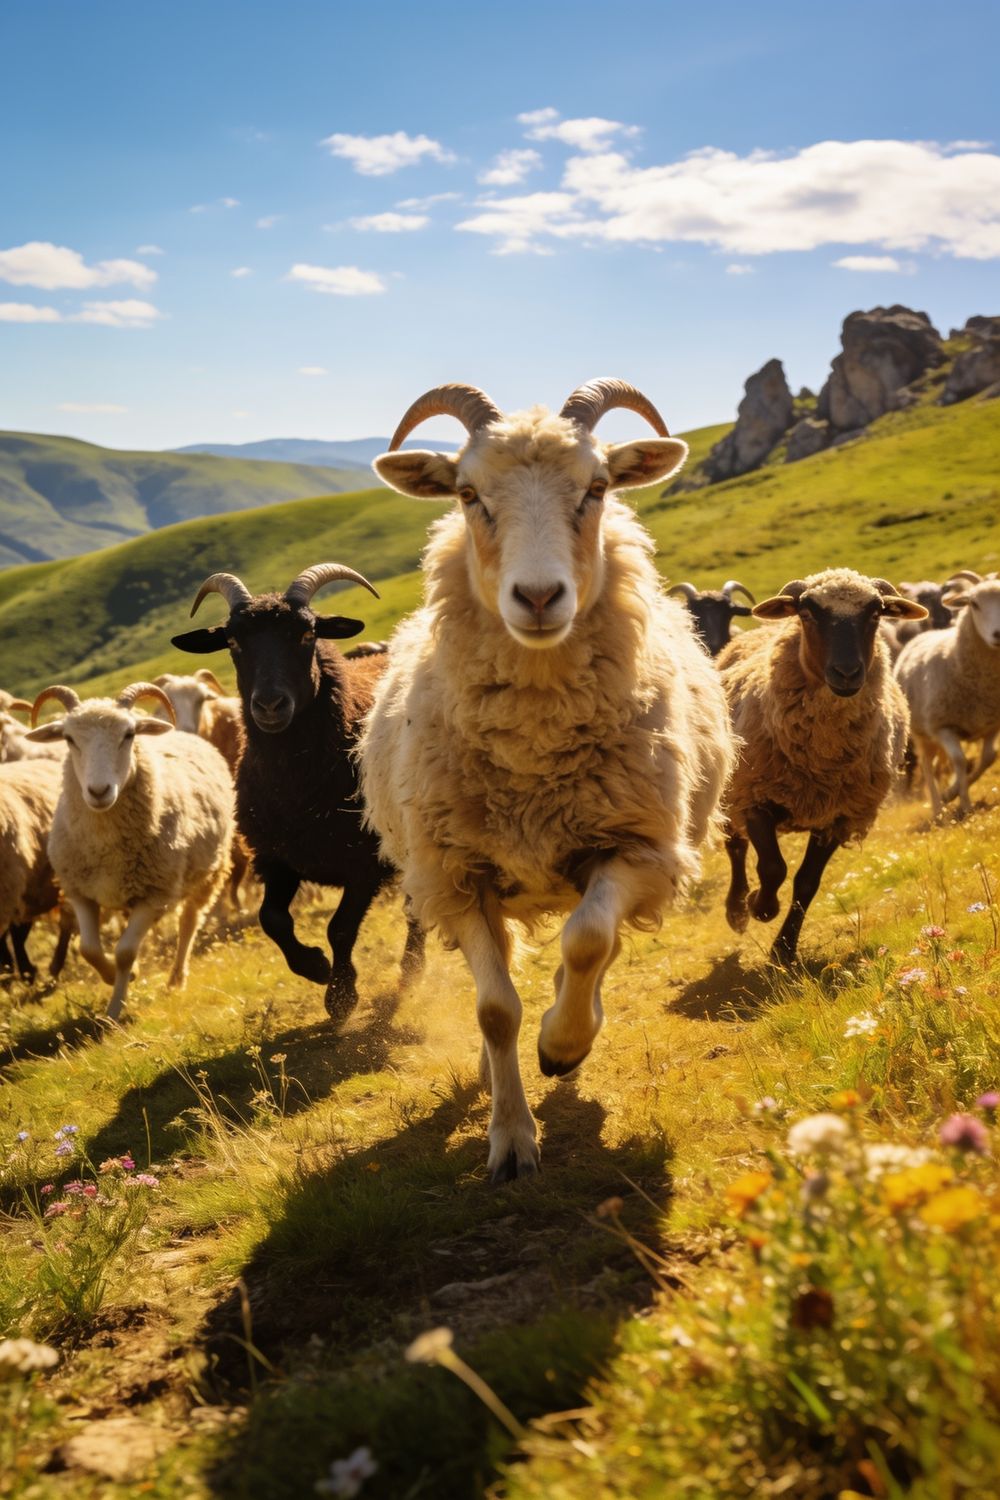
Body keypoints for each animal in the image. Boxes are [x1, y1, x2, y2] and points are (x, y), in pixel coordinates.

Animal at [25, 682, 234, 1020]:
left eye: (129, 734)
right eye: (68, 739)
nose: (99, 791)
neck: (106, 846)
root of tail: (183, 733)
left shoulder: (155, 895)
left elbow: (125, 951)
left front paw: (115, 1009)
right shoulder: (79, 891)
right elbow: (89, 949)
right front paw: (117, 976)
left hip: (210, 872)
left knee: (189, 923)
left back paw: (176, 978)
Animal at [170, 563, 425, 1019]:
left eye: (307, 635)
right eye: (232, 641)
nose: (270, 705)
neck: (297, 789)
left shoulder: (365, 863)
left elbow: (340, 928)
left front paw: (341, 994)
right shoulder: (275, 858)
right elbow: (271, 919)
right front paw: (315, 966)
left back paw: (412, 970)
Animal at [359, 378, 735, 1182]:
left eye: (597, 488)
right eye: (468, 494)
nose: (537, 597)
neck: (533, 754)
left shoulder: (639, 849)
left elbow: (589, 943)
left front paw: (564, 1044)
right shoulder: (456, 875)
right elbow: (495, 1008)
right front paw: (509, 1136)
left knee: (593, 941)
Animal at [718, 569, 926, 965]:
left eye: (876, 613)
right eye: (807, 613)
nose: (846, 672)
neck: (822, 760)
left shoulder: (839, 816)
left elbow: (807, 882)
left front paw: (783, 950)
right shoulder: (755, 797)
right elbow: (772, 867)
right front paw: (760, 906)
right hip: (727, 789)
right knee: (734, 845)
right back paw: (736, 909)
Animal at [894, 571, 1000, 819]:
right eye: (974, 604)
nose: (999, 634)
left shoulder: (992, 724)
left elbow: (989, 758)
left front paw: (952, 792)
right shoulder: (943, 727)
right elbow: (960, 761)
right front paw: (964, 803)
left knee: (934, 766)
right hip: (922, 733)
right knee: (926, 765)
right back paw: (937, 809)